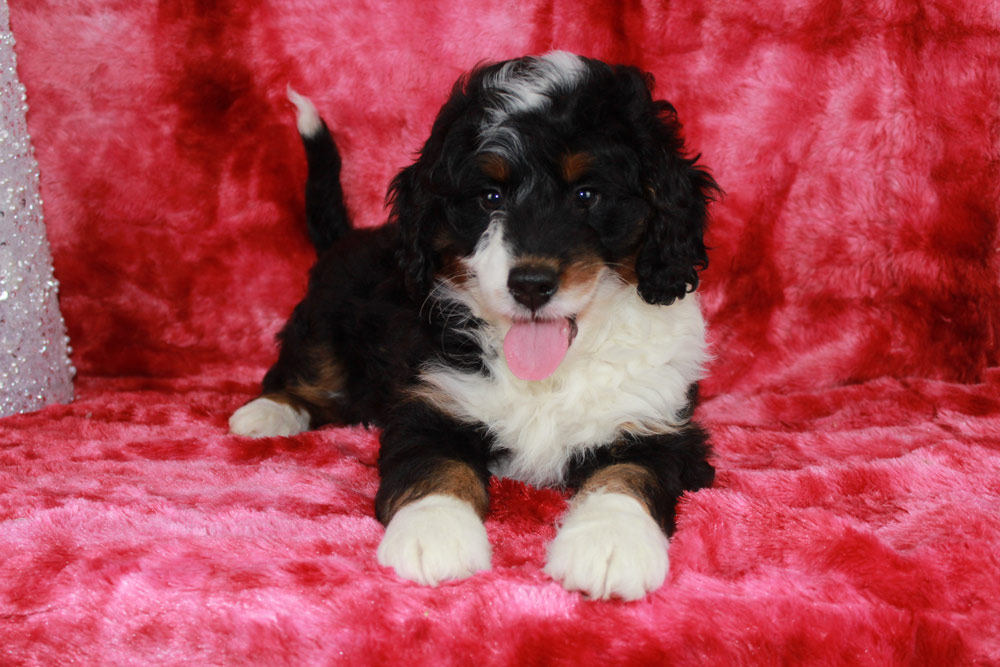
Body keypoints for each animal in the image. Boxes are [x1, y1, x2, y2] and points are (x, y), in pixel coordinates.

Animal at [229, 52, 718, 600]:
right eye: (490, 197)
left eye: (587, 194)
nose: (530, 284)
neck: (550, 372)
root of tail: (346, 238)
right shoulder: (432, 401)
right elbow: (437, 465)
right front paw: (435, 532)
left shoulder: (659, 421)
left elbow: (631, 473)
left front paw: (611, 543)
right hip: (323, 326)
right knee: (305, 373)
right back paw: (267, 413)